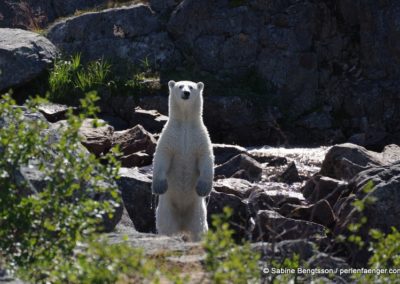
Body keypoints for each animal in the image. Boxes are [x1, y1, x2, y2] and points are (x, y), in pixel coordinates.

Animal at [152, 80, 214, 242]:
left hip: (197, 211)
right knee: (166, 226)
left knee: (199, 229)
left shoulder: (200, 137)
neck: (185, 123)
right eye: (180, 86)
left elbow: (206, 158)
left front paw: (203, 188)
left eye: (191, 87)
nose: (186, 93)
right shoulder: (170, 136)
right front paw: (159, 186)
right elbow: (161, 156)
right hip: (166, 208)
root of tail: (182, 224)